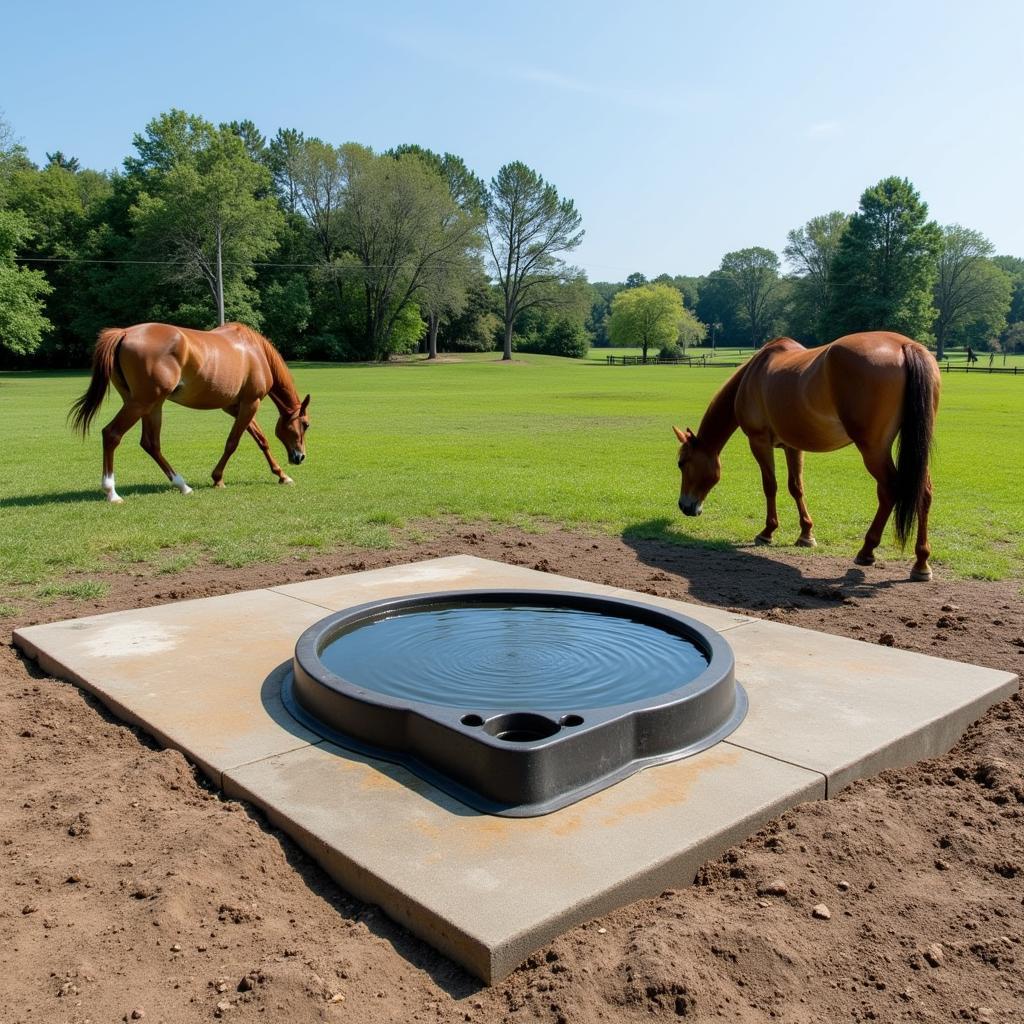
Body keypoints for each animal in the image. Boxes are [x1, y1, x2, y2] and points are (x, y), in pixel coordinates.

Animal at [68, 321, 309, 501]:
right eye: (306, 424)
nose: (300, 457)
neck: (256, 352)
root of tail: (125, 332)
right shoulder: (251, 403)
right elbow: (233, 443)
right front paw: (218, 478)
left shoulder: (237, 407)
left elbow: (261, 440)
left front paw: (282, 475)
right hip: (142, 403)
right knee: (112, 434)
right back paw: (112, 492)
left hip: (152, 406)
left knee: (150, 444)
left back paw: (182, 485)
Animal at [675, 331, 937, 581]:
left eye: (681, 463)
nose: (685, 506)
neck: (753, 374)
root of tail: (905, 346)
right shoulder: (793, 446)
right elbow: (796, 487)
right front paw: (806, 534)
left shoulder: (759, 442)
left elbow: (770, 486)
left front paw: (767, 532)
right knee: (922, 492)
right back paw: (921, 562)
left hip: (873, 450)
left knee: (889, 490)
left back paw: (867, 550)